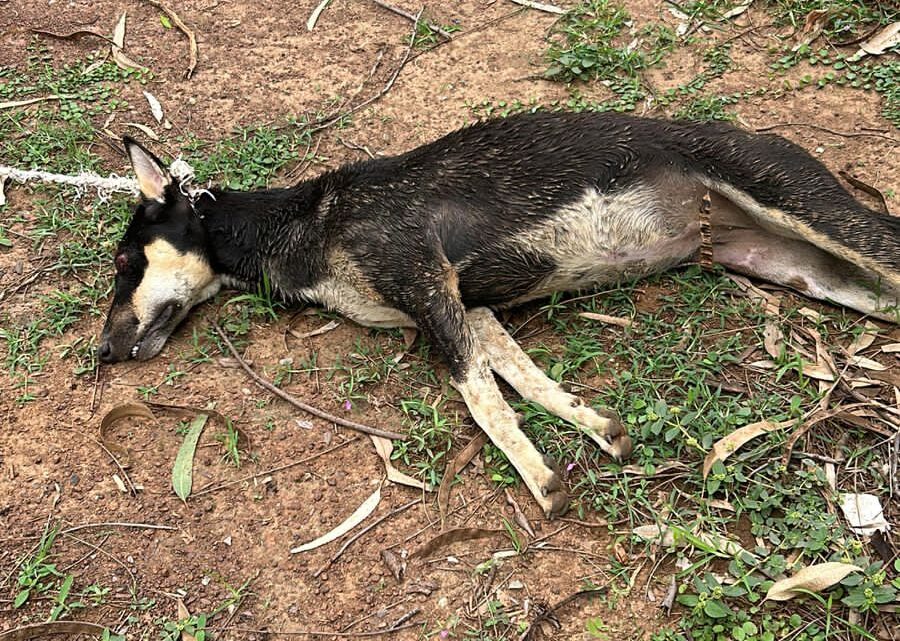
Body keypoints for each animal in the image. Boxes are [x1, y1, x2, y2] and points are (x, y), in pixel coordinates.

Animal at [98, 112, 900, 516]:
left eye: (123, 261)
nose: (102, 353)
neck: (308, 227)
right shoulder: (470, 307)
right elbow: (523, 380)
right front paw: (598, 431)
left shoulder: (426, 281)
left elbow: (480, 398)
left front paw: (540, 480)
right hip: (806, 268)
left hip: (817, 213)